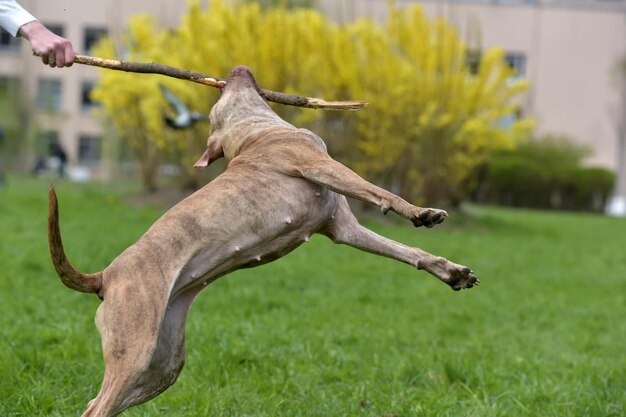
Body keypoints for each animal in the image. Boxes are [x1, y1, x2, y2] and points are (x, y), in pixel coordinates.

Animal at [47, 66, 478, 416]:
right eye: (222, 96)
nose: (235, 67)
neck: (255, 132)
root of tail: (105, 276)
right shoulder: (320, 165)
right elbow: (381, 193)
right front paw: (422, 212)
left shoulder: (342, 228)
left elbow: (408, 252)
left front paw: (452, 271)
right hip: (134, 348)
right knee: (98, 406)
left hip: (165, 362)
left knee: (100, 401)